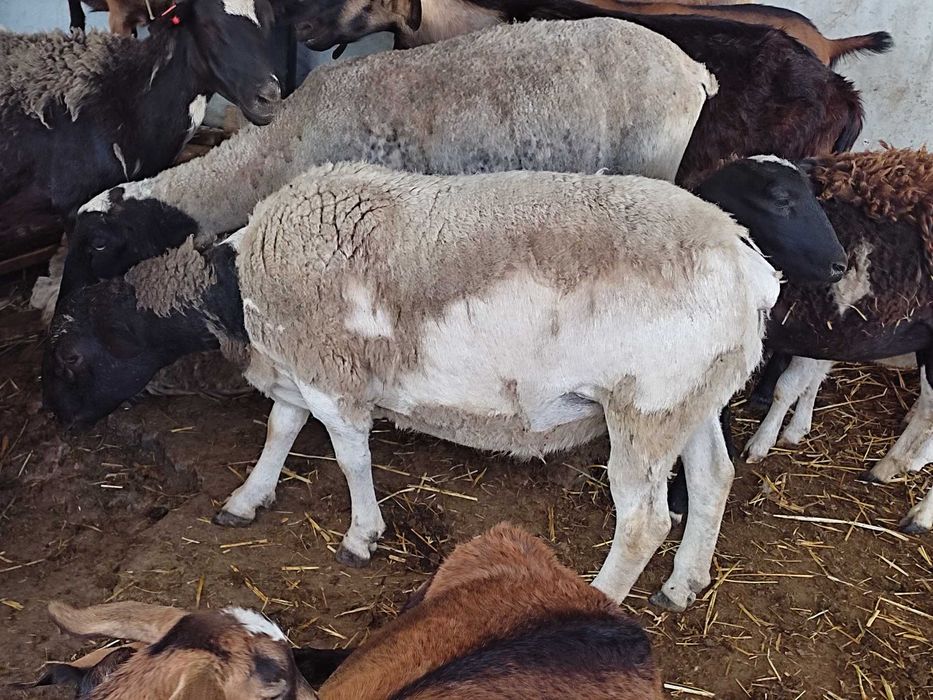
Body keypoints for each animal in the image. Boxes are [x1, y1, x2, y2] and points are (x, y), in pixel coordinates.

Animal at [41, 161, 851, 611]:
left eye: (70, 354)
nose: (56, 420)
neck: (236, 286)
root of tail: (748, 265)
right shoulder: (303, 367)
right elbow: (279, 427)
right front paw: (247, 498)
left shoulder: (333, 376)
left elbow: (348, 456)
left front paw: (361, 537)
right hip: (690, 395)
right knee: (713, 480)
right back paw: (683, 587)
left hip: (643, 404)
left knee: (646, 520)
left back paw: (598, 600)